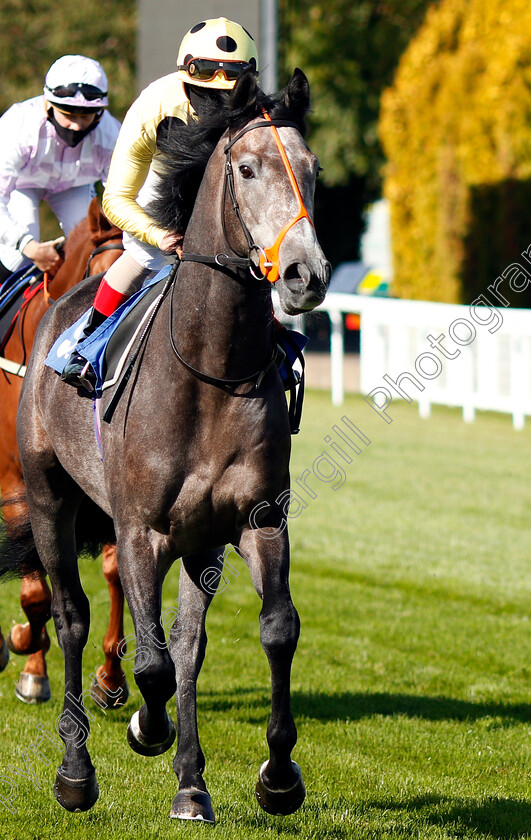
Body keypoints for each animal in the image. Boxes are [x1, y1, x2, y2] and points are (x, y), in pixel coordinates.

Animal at [0, 195, 128, 704]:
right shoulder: (19, 486)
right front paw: (29, 660)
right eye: (104, 279)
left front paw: (110, 677)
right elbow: (36, 590)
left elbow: (115, 570)